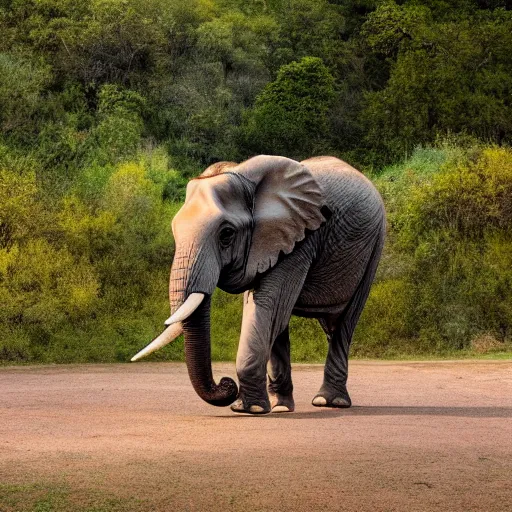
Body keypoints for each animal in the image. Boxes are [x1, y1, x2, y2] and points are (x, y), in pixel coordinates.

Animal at [132, 154, 384, 414]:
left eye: (226, 234)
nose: (226, 384)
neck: (244, 176)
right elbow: (267, 311)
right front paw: (260, 407)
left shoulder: (300, 240)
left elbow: (266, 307)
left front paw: (248, 409)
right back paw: (282, 407)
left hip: (374, 247)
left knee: (344, 322)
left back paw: (330, 402)